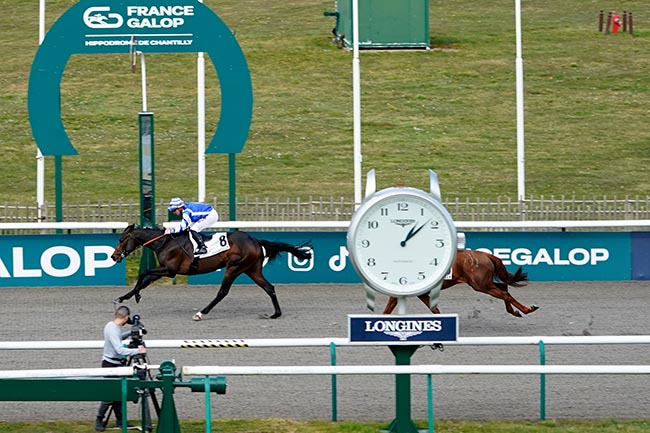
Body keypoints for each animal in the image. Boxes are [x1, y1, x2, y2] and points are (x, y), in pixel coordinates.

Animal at [110, 223, 310, 320]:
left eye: (121, 239)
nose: (113, 256)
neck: (165, 242)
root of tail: (255, 241)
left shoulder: (170, 270)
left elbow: (144, 274)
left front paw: (136, 295)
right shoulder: (165, 269)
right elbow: (145, 279)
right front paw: (124, 297)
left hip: (234, 267)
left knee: (222, 292)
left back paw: (201, 313)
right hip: (252, 270)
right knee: (269, 288)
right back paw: (276, 313)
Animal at [382, 248, 540, 316]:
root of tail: (486, 255)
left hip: (480, 284)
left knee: (504, 293)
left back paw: (527, 309)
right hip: (483, 283)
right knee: (503, 286)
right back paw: (515, 311)